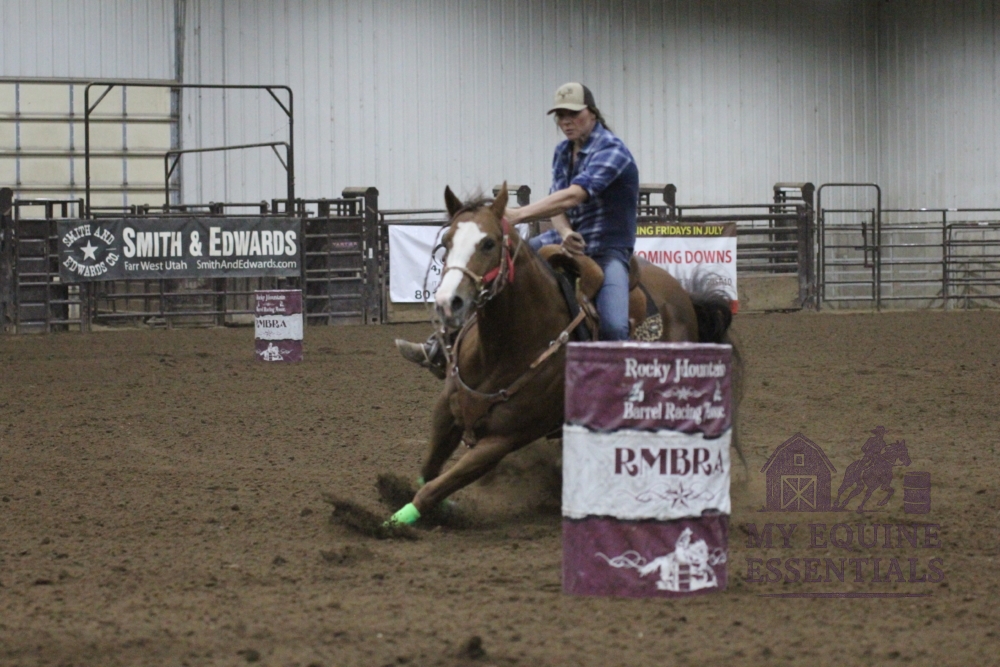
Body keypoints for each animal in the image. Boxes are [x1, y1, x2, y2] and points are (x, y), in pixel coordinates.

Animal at [386, 183, 738, 526]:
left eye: (488, 243)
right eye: (446, 241)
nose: (448, 302)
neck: (501, 350)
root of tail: (682, 296)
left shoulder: (504, 439)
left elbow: (436, 486)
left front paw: (396, 520)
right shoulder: (446, 411)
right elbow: (429, 471)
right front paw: (429, 506)